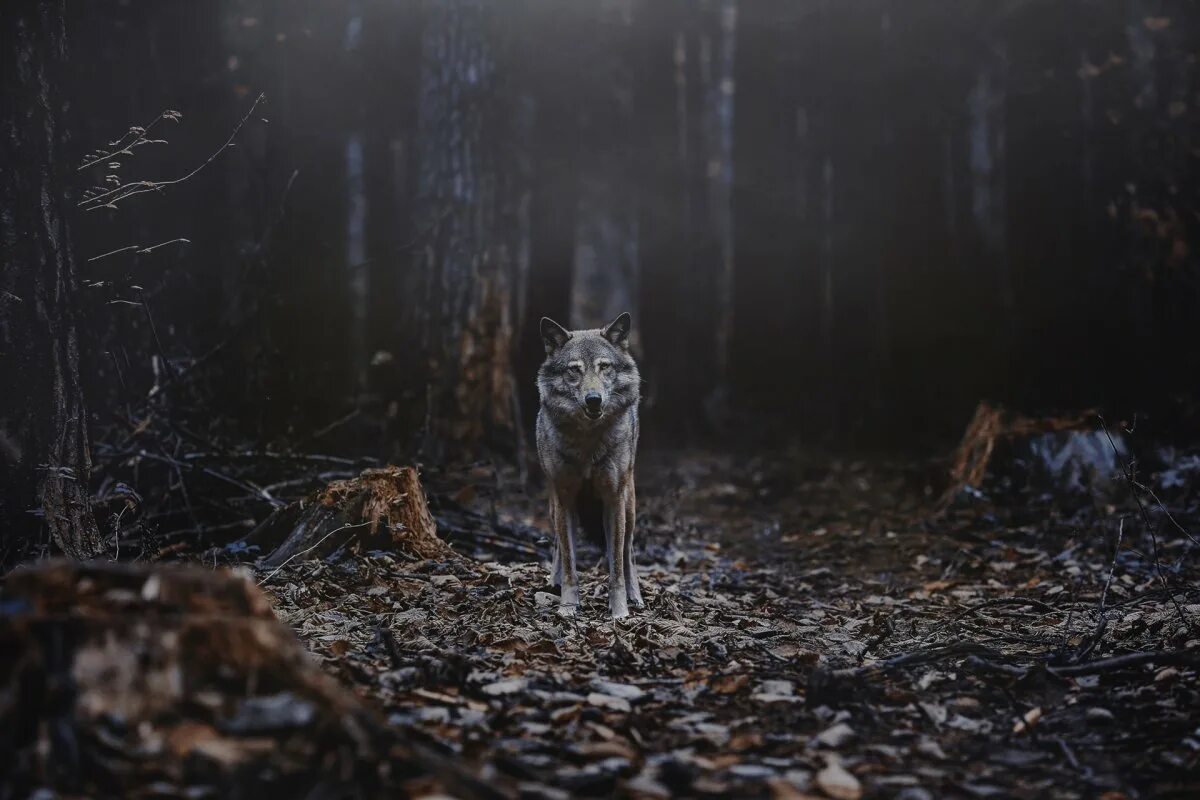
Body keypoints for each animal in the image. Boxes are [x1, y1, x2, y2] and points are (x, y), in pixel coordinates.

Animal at [540, 311, 643, 618]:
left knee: (629, 552)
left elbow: (616, 566)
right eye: (574, 370)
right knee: (558, 546)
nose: (594, 399)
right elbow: (570, 562)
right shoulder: (564, 499)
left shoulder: (613, 499)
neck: (587, 440)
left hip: (629, 505)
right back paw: (553, 581)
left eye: (604, 367)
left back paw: (636, 597)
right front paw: (568, 606)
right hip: (554, 506)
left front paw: (620, 612)